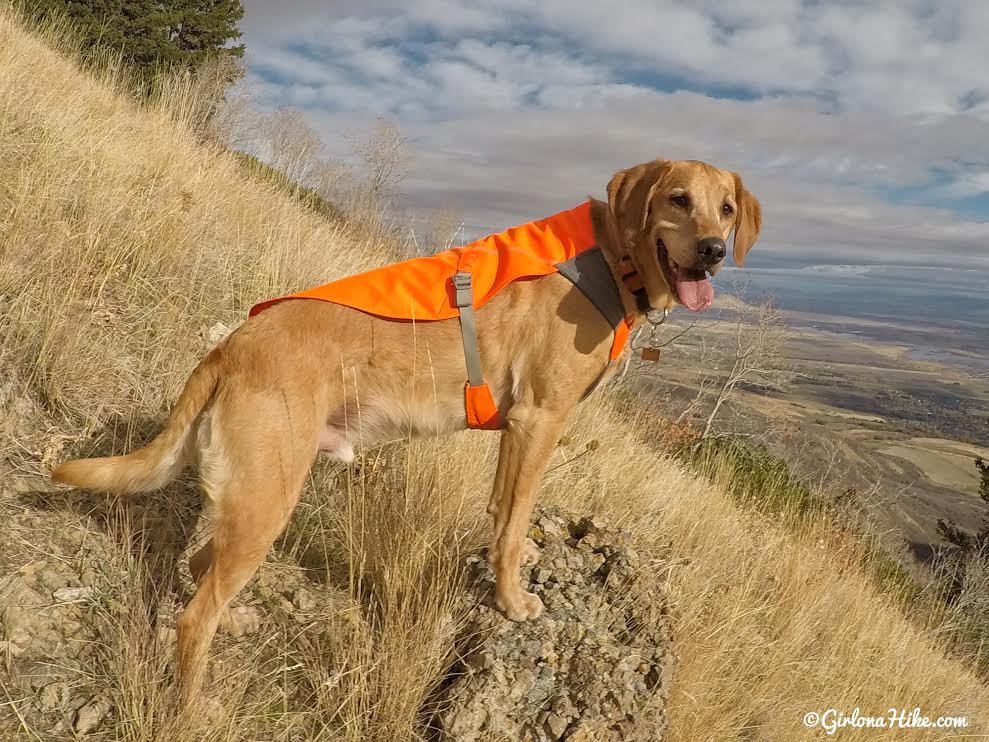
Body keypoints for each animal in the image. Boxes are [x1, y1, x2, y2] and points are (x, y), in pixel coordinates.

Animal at [52, 157, 764, 704]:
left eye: (726, 209)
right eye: (678, 200)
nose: (712, 252)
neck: (614, 256)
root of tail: (231, 346)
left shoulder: (517, 432)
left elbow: (504, 510)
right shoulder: (538, 418)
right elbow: (513, 521)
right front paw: (513, 600)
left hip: (260, 497)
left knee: (203, 568)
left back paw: (237, 620)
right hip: (268, 499)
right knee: (192, 617)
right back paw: (193, 705)